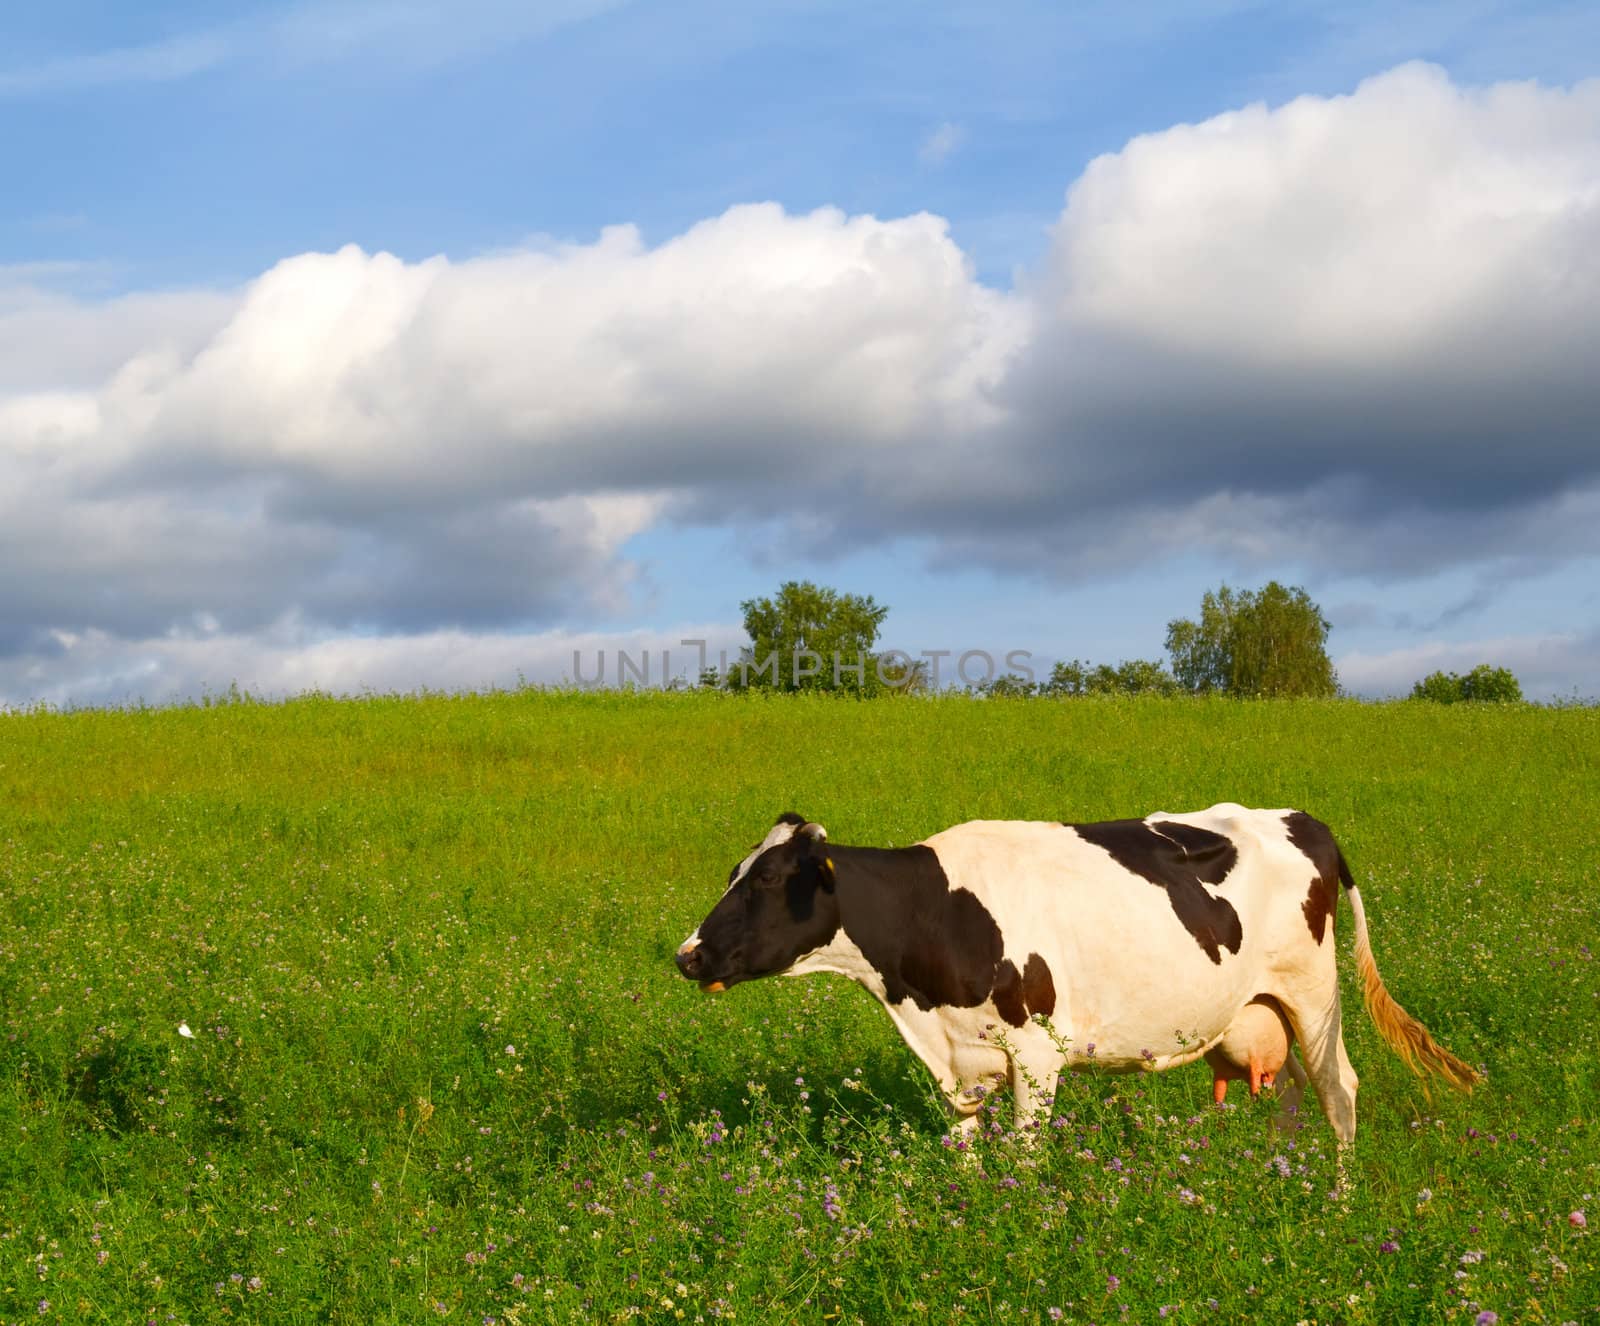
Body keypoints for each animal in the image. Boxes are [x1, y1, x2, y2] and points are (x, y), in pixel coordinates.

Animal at [672, 802, 1472, 1145]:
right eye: (734, 871)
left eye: (768, 879)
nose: (688, 955)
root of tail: (1303, 818)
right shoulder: (962, 1062)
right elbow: (966, 1153)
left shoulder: (1036, 1056)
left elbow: (1025, 1161)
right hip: (1267, 1006)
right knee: (1294, 1095)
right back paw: (1288, 1186)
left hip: (1314, 995)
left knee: (1339, 1091)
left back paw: (1336, 1201)